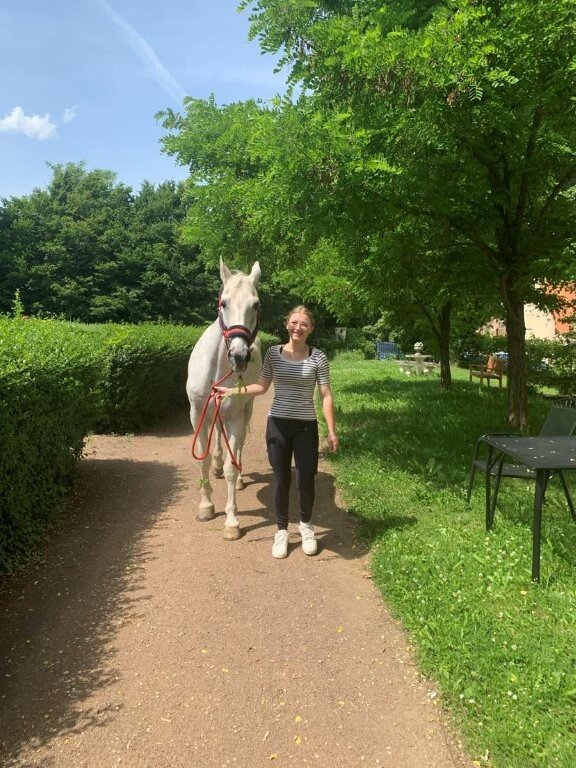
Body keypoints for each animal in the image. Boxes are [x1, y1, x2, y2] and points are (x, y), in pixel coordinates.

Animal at [187, 259, 262, 540]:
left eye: (256, 304)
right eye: (224, 303)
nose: (239, 355)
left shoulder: (235, 417)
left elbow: (231, 465)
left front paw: (231, 521)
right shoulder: (197, 415)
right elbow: (203, 459)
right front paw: (206, 506)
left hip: (245, 410)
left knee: (236, 449)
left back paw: (238, 477)